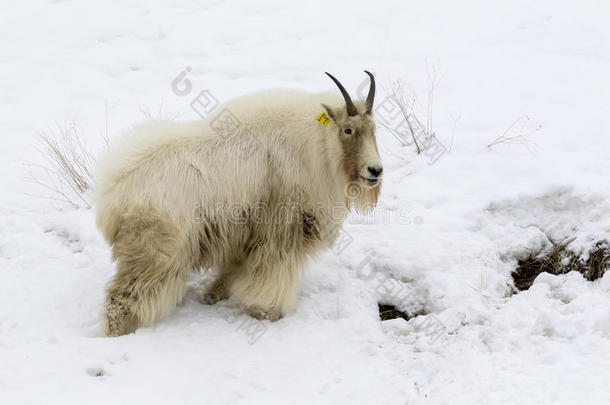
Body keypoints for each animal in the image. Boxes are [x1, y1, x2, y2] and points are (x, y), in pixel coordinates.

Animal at [94, 72, 380, 334]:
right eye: (348, 129)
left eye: (374, 130)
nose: (375, 171)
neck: (319, 147)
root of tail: (113, 194)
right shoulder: (281, 232)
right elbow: (271, 274)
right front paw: (268, 313)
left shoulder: (243, 233)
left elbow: (234, 268)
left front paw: (214, 295)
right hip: (154, 252)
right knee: (119, 300)